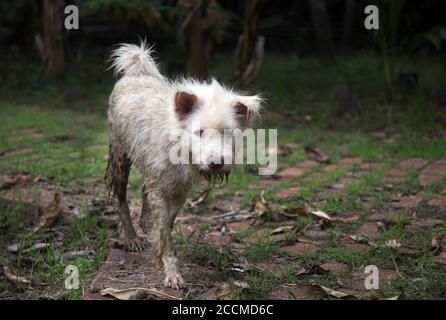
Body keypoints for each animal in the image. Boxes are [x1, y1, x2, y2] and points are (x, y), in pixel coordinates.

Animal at [105, 41, 262, 288]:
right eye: (199, 132)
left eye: (227, 132)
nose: (216, 163)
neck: (178, 147)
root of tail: (137, 73)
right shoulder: (161, 189)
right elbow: (165, 233)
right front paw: (171, 273)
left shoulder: (179, 191)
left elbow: (166, 225)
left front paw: (159, 250)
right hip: (120, 159)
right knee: (121, 199)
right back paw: (131, 238)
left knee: (144, 191)